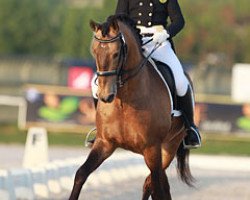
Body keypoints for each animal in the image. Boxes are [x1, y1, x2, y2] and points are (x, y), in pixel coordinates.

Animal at [68, 14, 193, 200]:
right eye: (94, 52)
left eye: (116, 53)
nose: (106, 95)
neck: (124, 101)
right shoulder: (105, 143)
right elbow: (81, 174)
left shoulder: (152, 148)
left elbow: (156, 187)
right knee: (155, 184)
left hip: (168, 148)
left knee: (153, 184)